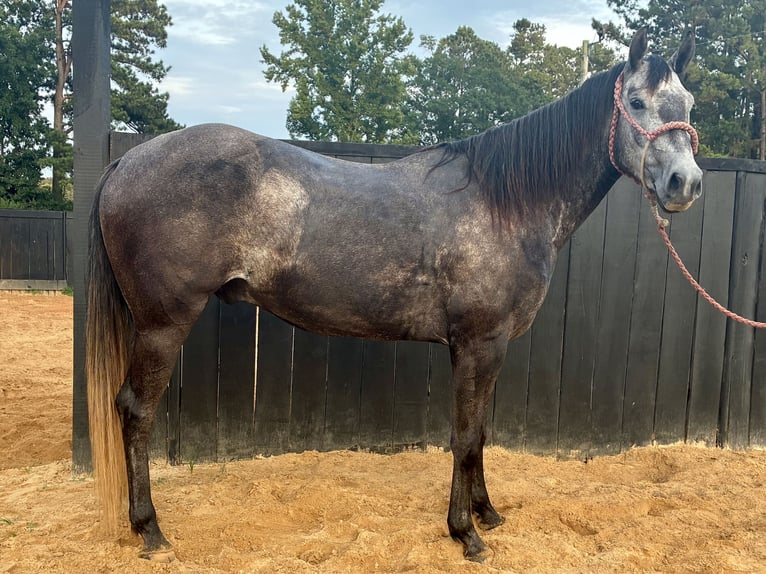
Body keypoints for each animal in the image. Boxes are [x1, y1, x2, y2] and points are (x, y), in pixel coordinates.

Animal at [86, 29, 702, 562]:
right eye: (638, 103)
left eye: (689, 104)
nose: (686, 183)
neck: (505, 202)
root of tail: (128, 161)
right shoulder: (478, 344)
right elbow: (463, 436)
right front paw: (466, 535)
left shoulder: (490, 347)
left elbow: (480, 433)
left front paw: (488, 514)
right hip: (163, 324)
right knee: (136, 410)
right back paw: (151, 531)